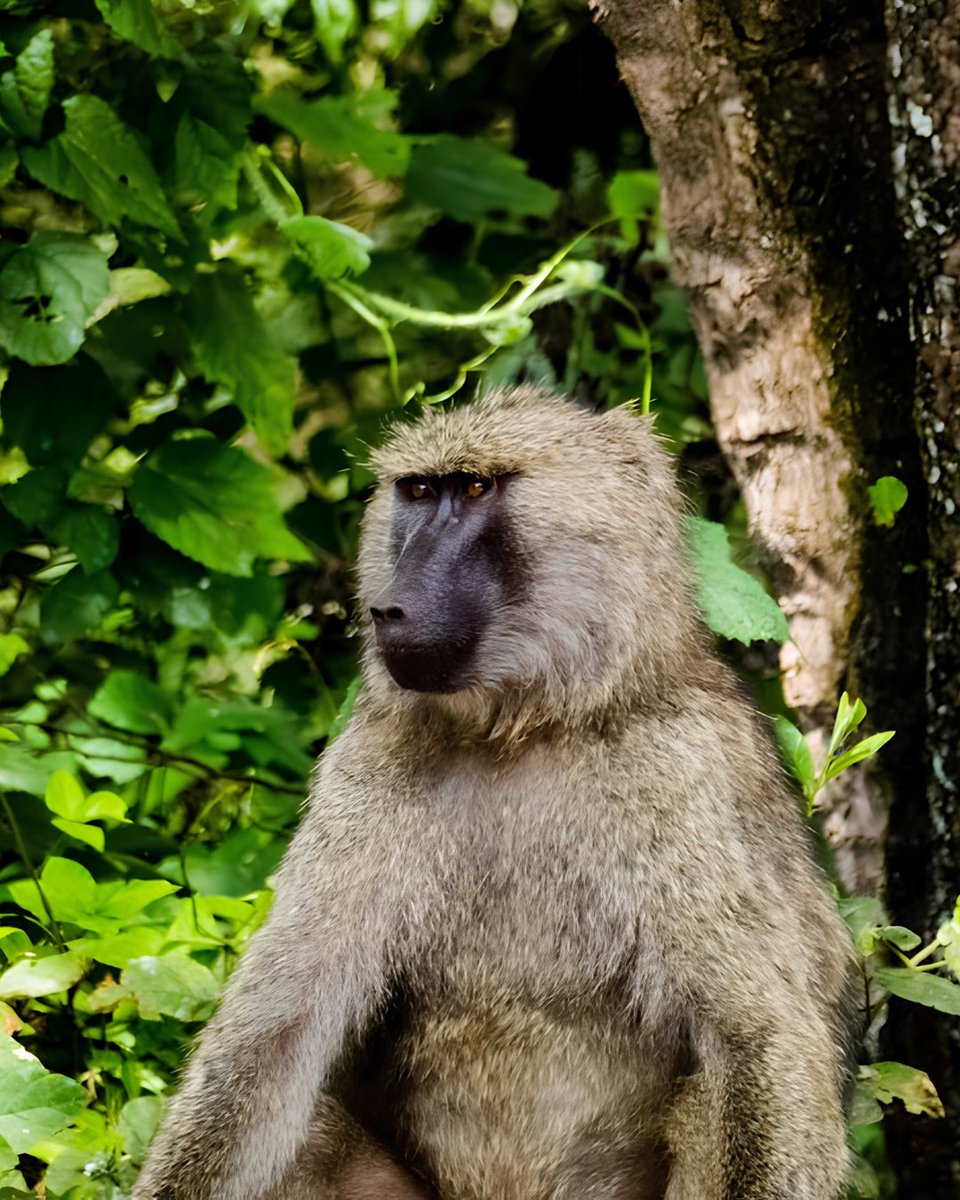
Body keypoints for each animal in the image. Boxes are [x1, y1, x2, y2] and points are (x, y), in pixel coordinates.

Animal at [132, 386, 854, 1200]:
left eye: (475, 488)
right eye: (418, 492)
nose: (389, 608)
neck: (522, 727)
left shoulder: (683, 765)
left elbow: (760, 1041)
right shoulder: (366, 761)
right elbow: (268, 1041)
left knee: (710, 1102)